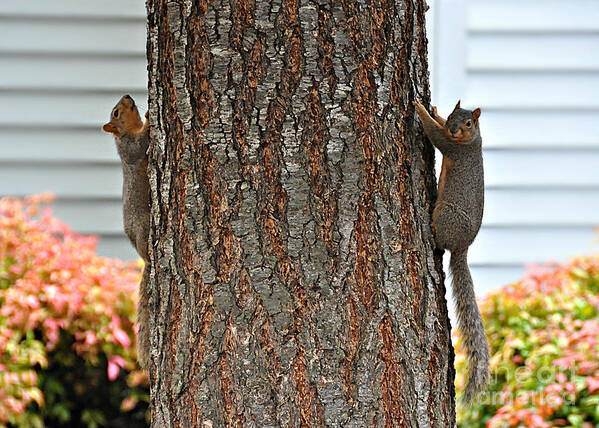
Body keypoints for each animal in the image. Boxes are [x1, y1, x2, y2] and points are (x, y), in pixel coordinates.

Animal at [414, 99, 490, 402]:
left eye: (469, 122)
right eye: (452, 115)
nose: (453, 127)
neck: (471, 140)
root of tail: (463, 247)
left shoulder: (453, 147)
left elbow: (435, 136)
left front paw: (419, 108)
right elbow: (437, 130)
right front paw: (432, 111)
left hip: (446, 213)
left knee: (440, 243)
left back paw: (432, 230)